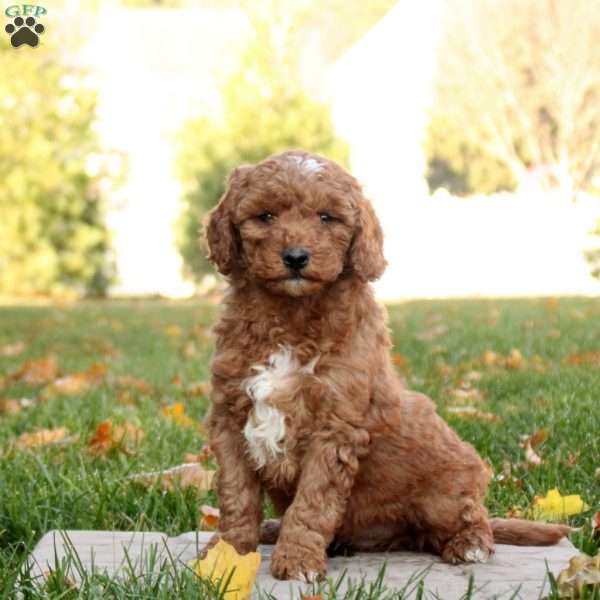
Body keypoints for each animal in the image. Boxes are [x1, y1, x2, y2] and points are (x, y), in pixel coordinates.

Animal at [204, 150, 568, 580]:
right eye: (266, 216)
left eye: (327, 217)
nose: (295, 257)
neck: (290, 315)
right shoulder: (230, 415)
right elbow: (236, 496)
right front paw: (227, 555)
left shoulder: (334, 427)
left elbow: (312, 501)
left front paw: (297, 561)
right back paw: (276, 530)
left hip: (447, 488)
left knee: (470, 517)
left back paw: (470, 544)